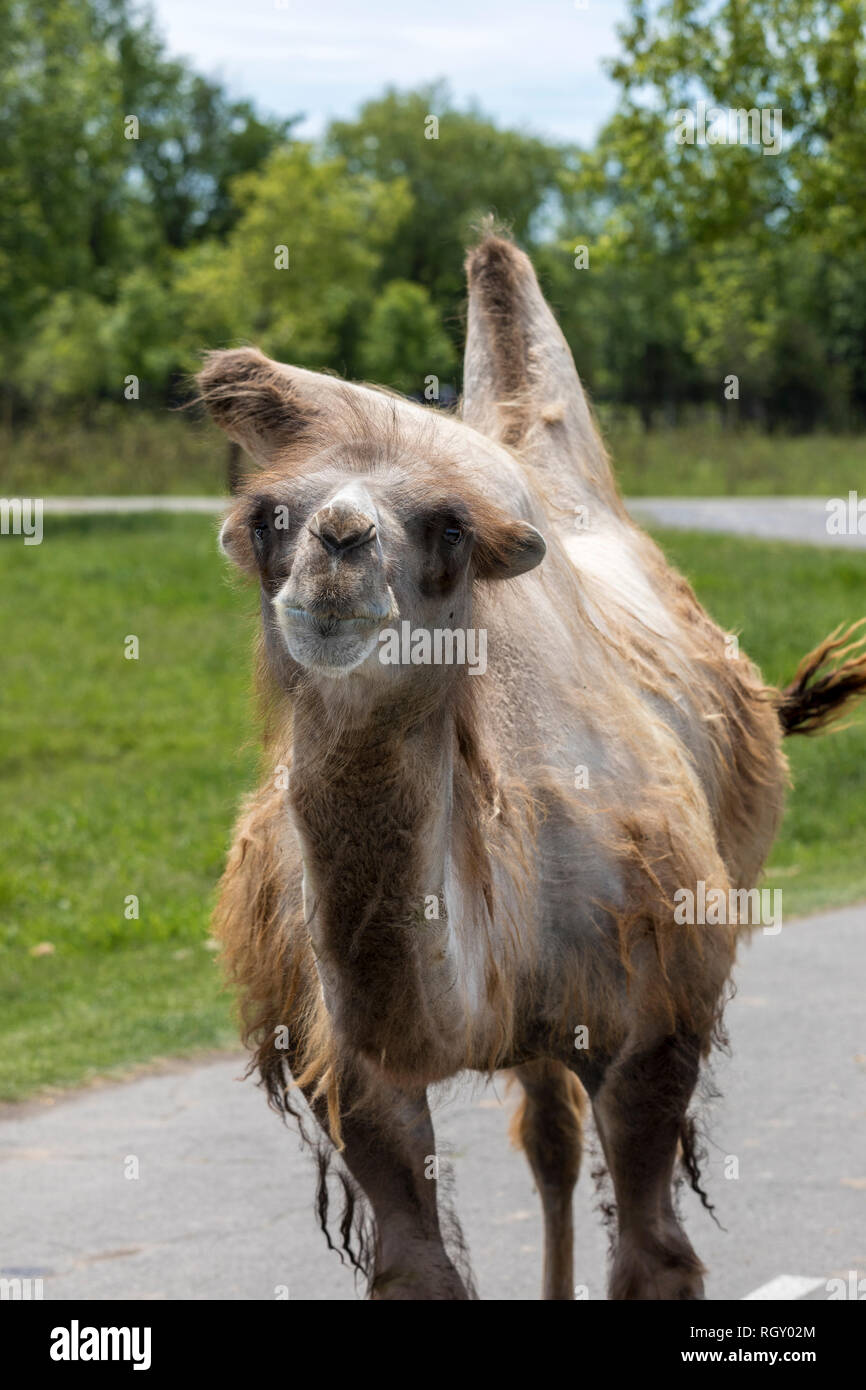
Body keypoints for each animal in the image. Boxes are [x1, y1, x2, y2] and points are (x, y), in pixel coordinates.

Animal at [194, 230, 866, 1301]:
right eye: (268, 520)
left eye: (449, 528)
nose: (337, 546)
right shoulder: (344, 1064)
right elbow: (416, 1267)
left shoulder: (656, 1024)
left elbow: (655, 1256)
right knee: (548, 1136)